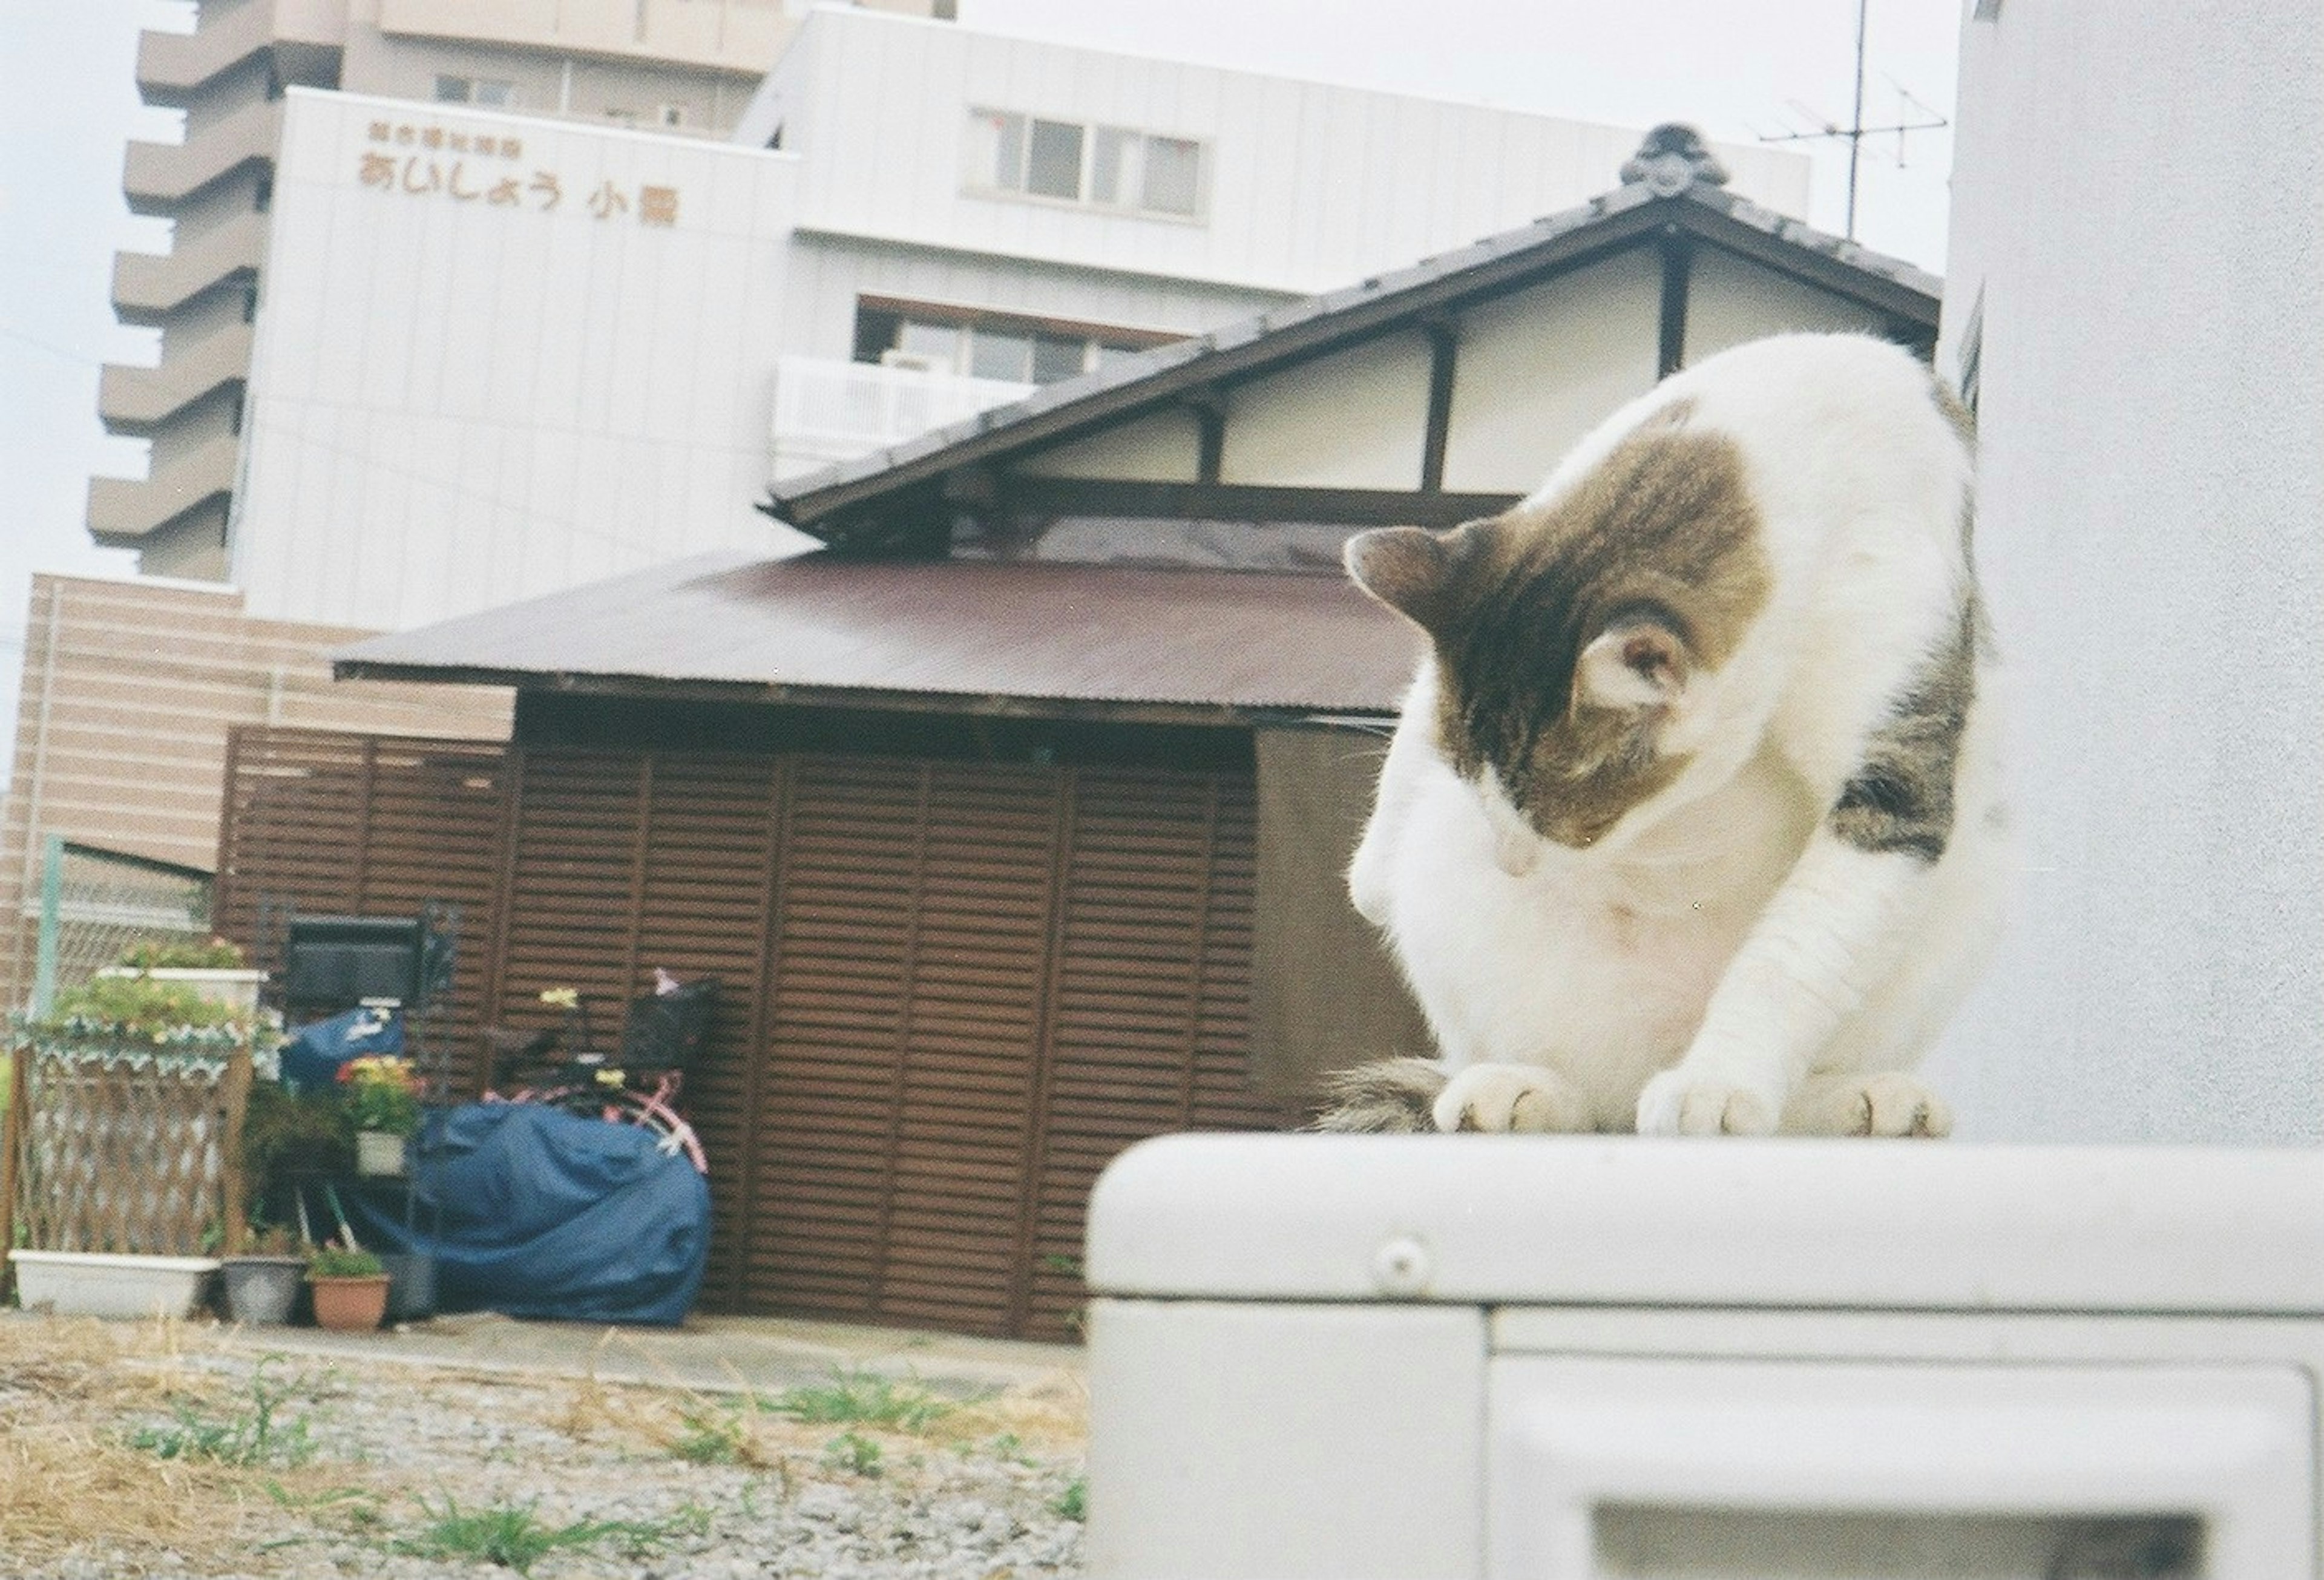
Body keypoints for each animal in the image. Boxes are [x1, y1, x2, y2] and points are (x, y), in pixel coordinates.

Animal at [1329, 332, 2017, 1133]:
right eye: (1466, 774)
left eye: (1575, 823)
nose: (1510, 862)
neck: (1784, 439)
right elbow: (1414, 714)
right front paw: (1371, 875)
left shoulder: (1901, 703)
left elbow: (1794, 955)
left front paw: (1719, 1081)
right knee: (1580, 1097)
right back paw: (1519, 1087)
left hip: (1973, 887)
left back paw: (1864, 1098)